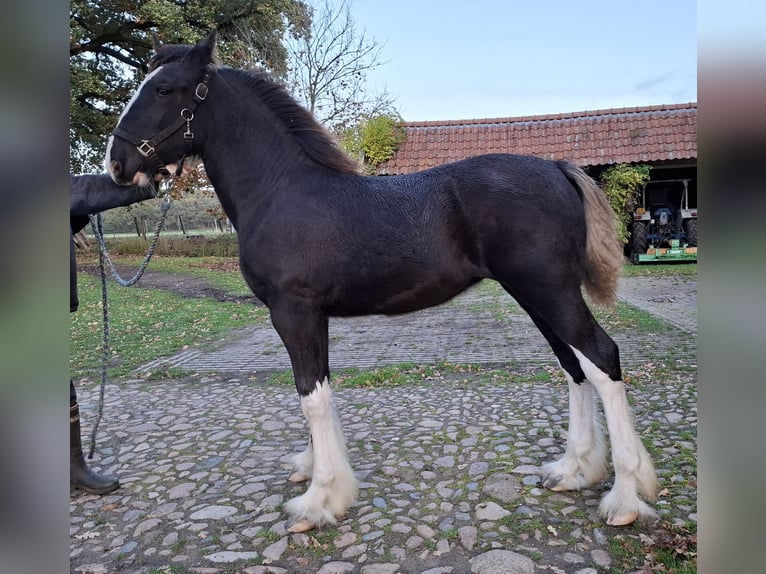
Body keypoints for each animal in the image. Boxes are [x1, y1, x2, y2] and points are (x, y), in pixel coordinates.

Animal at [104, 30, 659, 533]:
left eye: (163, 89)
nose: (117, 164)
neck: (282, 190)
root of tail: (559, 169)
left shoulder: (292, 312)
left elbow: (310, 395)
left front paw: (318, 502)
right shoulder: (311, 317)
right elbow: (317, 388)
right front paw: (316, 473)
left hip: (550, 293)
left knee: (602, 358)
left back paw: (624, 498)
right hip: (536, 297)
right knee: (574, 365)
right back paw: (574, 471)